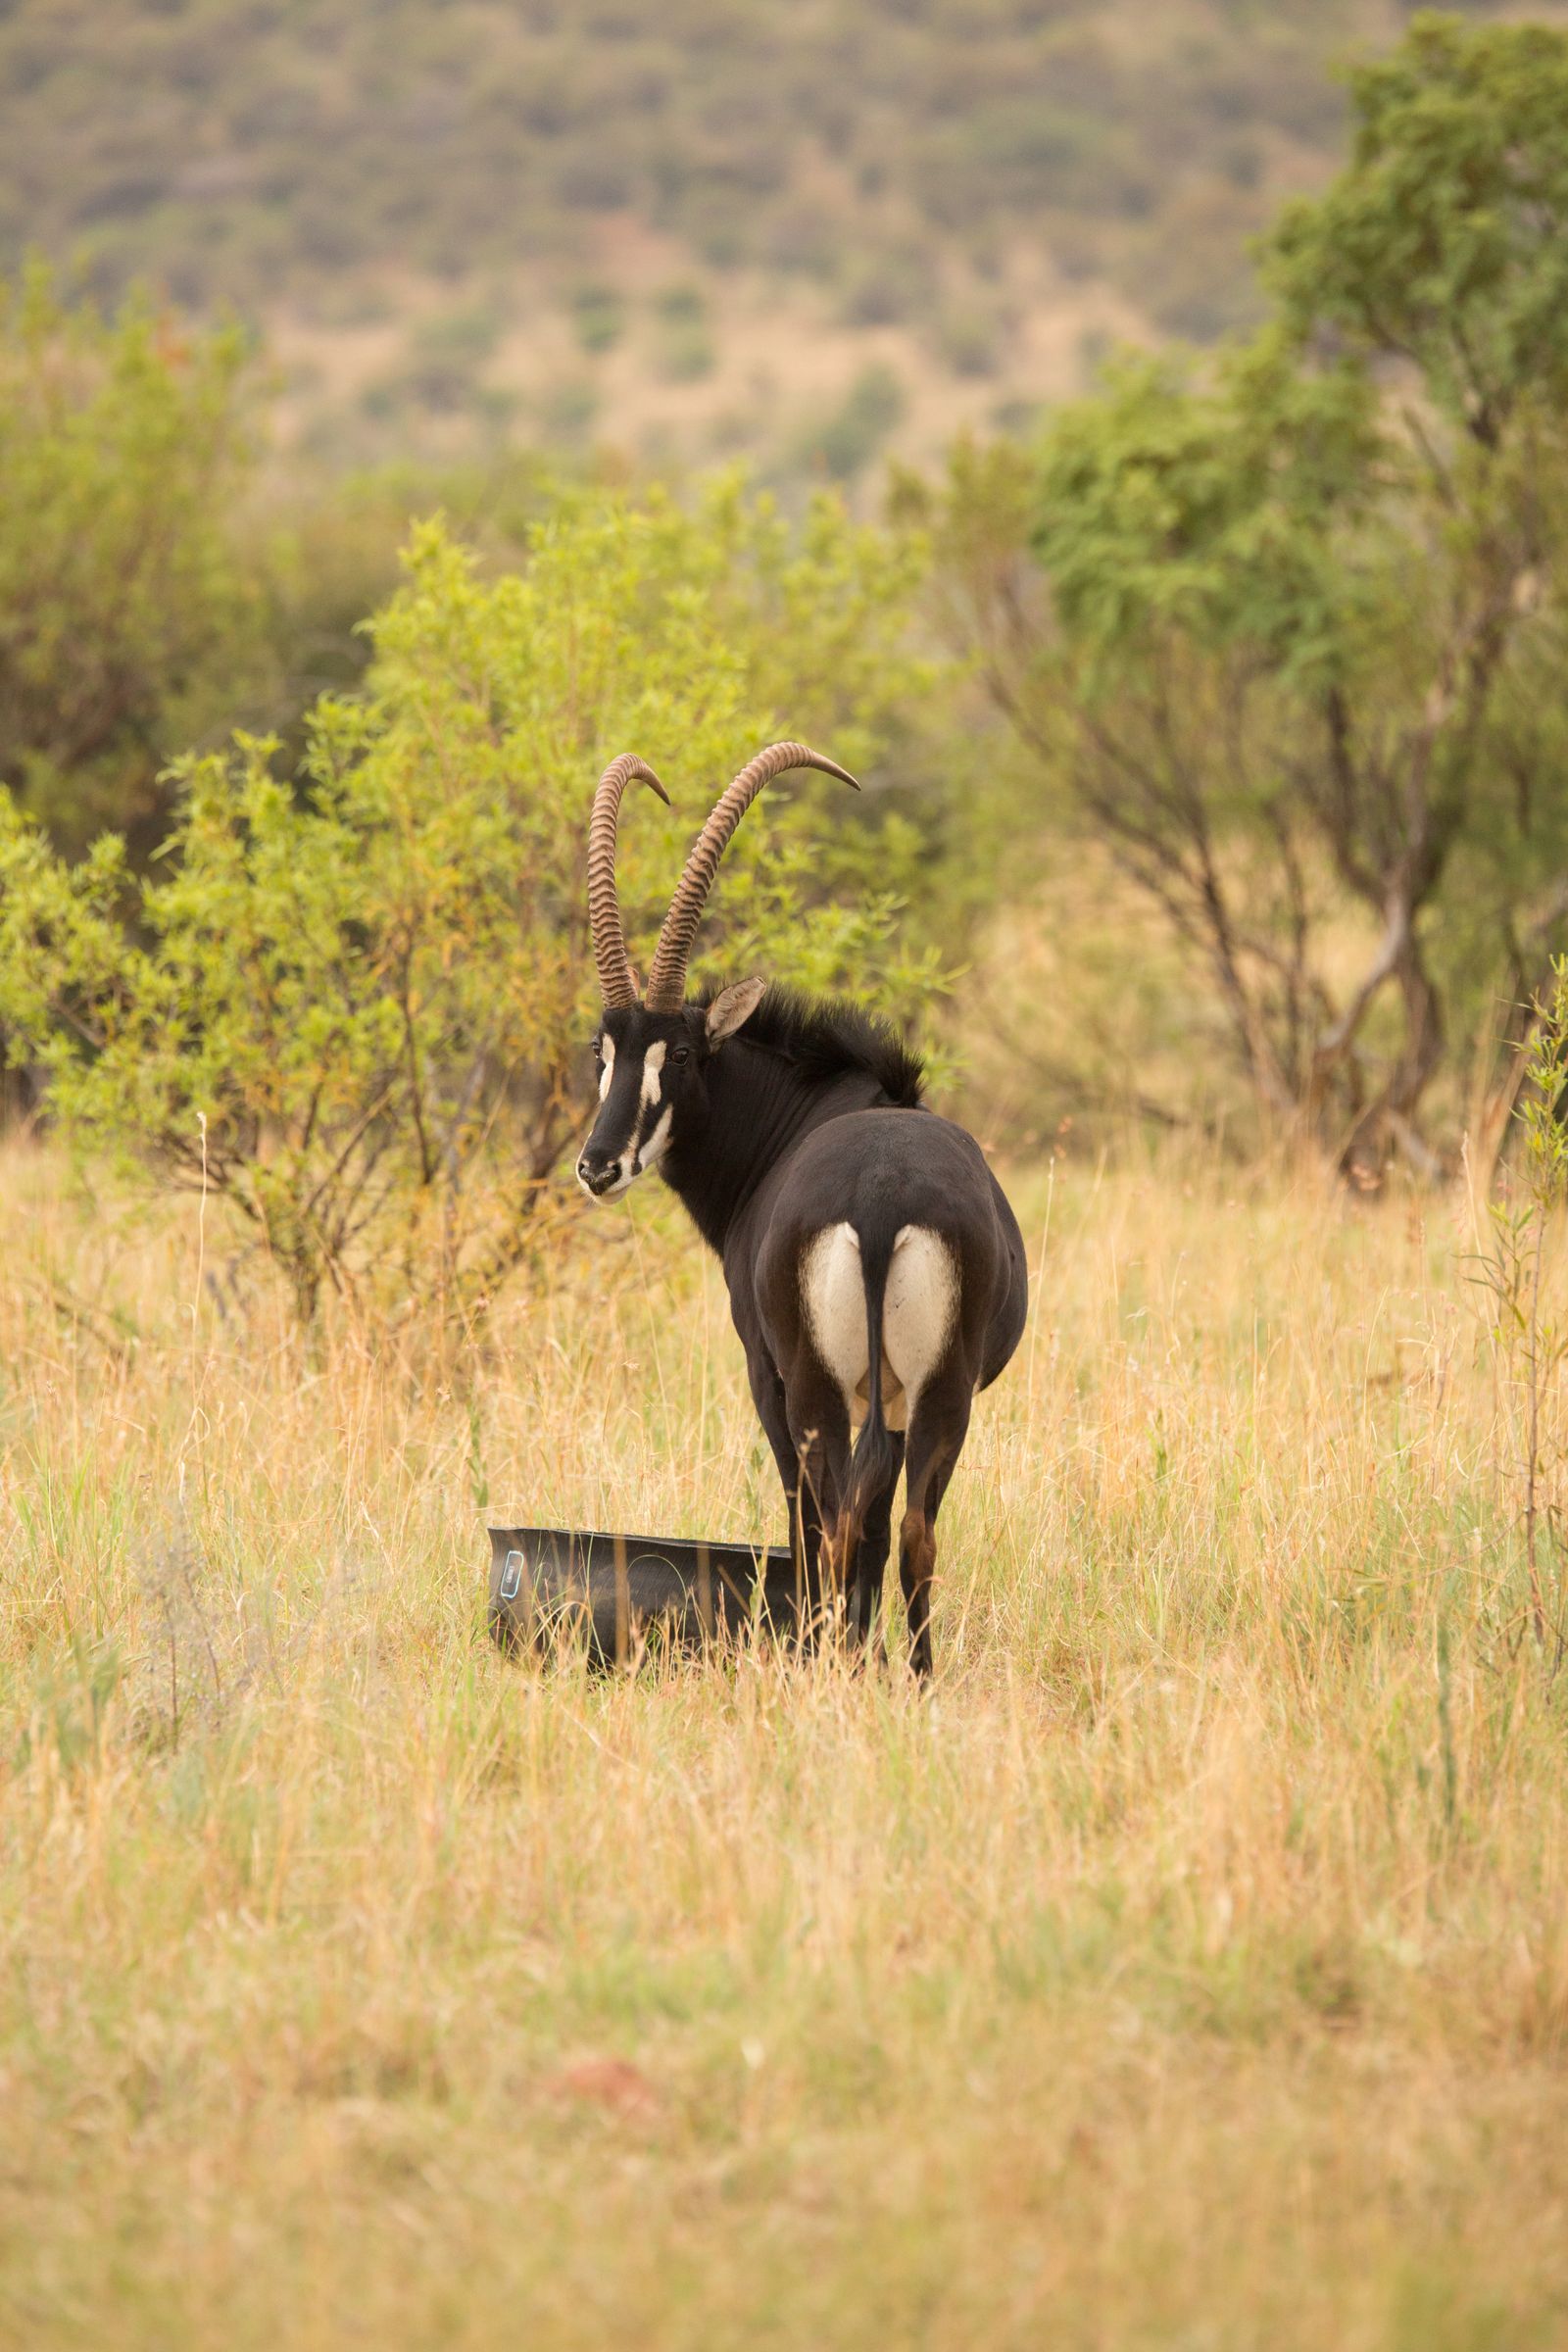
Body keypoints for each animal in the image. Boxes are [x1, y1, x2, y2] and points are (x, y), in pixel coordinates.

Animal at [575, 742, 1027, 1674]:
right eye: (603, 1051)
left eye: (679, 1053)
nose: (598, 1166)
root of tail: (882, 1198)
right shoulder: (891, 1401)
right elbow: (882, 1527)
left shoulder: (765, 1372)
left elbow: (803, 1524)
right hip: (939, 1390)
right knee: (909, 1529)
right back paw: (912, 1678)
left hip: (815, 1390)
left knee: (831, 1521)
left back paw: (835, 1664)